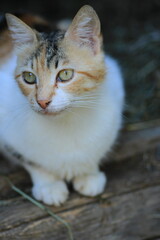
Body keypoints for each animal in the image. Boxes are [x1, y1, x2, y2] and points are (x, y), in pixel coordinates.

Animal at [0, 4, 124, 205]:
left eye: (65, 74)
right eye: (29, 77)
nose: (42, 101)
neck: (67, 122)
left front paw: (88, 174)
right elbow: (31, 161)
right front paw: (49, 185)